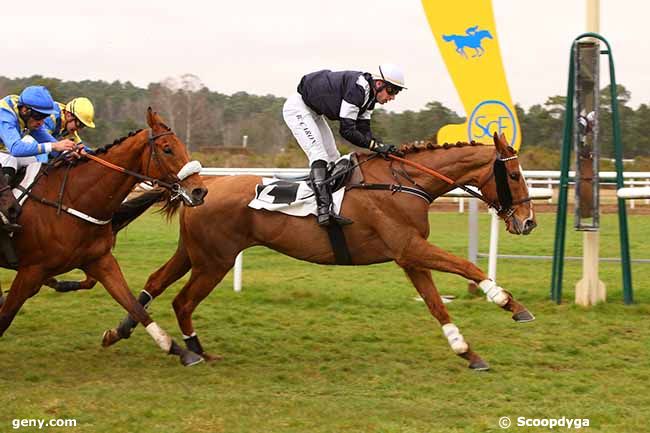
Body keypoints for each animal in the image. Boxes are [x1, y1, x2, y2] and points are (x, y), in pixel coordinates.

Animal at [0, 107, 208, 364]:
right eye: (167, 148)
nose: (199, 191)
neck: (72, 198)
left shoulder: (100, 261)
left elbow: (133, 305)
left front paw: (178, 349)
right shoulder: (31, 270)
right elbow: (5, 316)